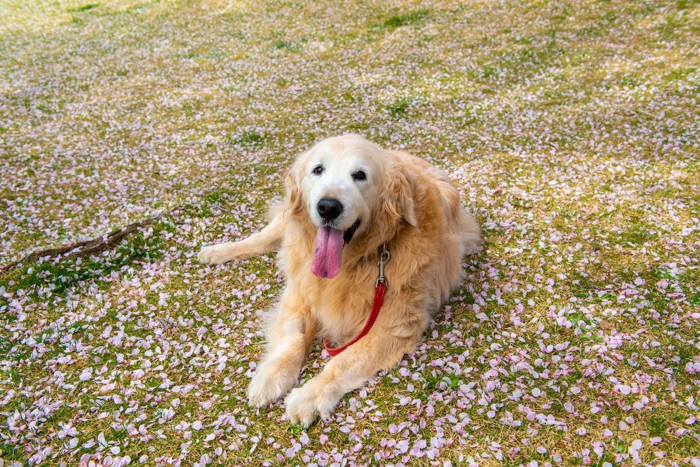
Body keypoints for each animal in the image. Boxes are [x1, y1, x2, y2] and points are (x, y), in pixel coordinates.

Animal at [198, 135, 482, 428]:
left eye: (360, 175)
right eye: (318, 169)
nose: (328, 207)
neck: (355, 261)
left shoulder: (394, 326)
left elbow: (343, 362)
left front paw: (309, 396)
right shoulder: (298, 293)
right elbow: (293, 339)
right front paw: (271, 377)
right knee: (262, 238)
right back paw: (216, 251)